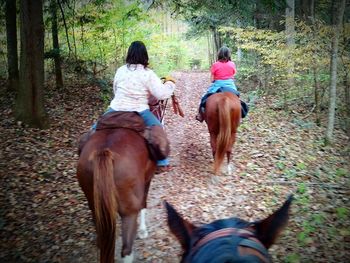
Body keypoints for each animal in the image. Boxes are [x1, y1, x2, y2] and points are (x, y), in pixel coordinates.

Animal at [78, 129, 157, 262]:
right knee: (126, 250)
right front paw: (143, 231)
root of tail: (104, 153)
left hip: (94, 206)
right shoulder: (147, 178)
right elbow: (143, 204)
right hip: (129, 212)